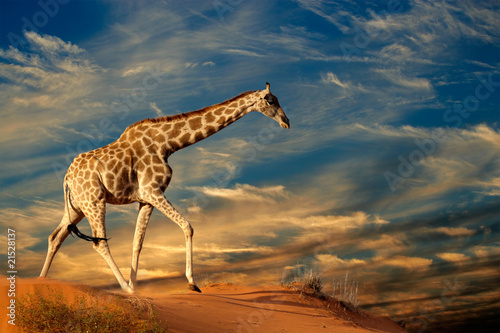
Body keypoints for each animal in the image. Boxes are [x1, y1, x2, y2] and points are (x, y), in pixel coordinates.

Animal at [40, 81, 290, 292]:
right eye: (270, 100)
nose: (286, 122)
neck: (168, 144)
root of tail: (66, 178)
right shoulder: (152, 191)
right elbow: (188, 226)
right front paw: (191, 283)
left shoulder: (145, 200)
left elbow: (137, 243)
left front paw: (138, 288)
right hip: (94, 200)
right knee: (98, 243)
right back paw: (125, 289)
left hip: (77, 206)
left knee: (55, 237)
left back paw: (41, 281)